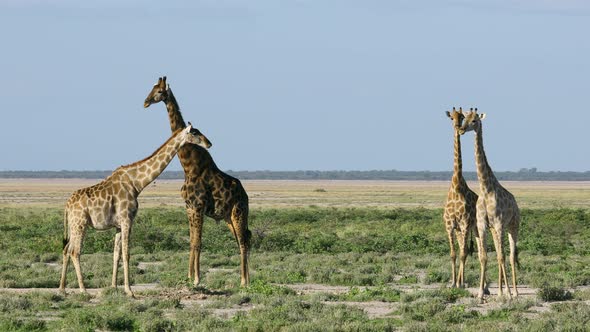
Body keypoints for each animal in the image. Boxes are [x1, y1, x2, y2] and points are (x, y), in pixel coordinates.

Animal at [59, 124, 213, 296]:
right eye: (195, 132)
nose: (209, 143)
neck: (137, 183)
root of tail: (67, 205)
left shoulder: (119, 225)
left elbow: (116, 254)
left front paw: (114, 287)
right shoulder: (127, 220)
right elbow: (127, 254)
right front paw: (129, 291)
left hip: (73, 225)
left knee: (66, 249)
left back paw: (62, 288)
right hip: (80, 224)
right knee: (75, 251)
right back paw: (83, 289)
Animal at [146, 76, 254, 286]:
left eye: (159, 91)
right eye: (152, 88)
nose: (145, 102)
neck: (188, 164)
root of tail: (245, 194)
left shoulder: (197, 206)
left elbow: (198, 242)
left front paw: (196, 278)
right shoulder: (188, 207)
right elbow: (192, 241)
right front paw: (189, 276)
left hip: (238, 212)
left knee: (244, 241)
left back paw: (244, 281)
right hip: (228, 217)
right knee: (242, 239)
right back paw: (245, 279)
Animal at [460, 108, 520, 300]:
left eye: (474, 120)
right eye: (464, 118)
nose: (461, 130)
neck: (486, 189)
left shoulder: (500, 223)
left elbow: (502, 257)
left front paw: (508, 293)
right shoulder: (483, 225)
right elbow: (484, 257)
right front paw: (480, 293)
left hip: (513, 226)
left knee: (510, 256)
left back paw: (514, 292)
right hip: (496, 229)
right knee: (502, 254)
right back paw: (500, 291)